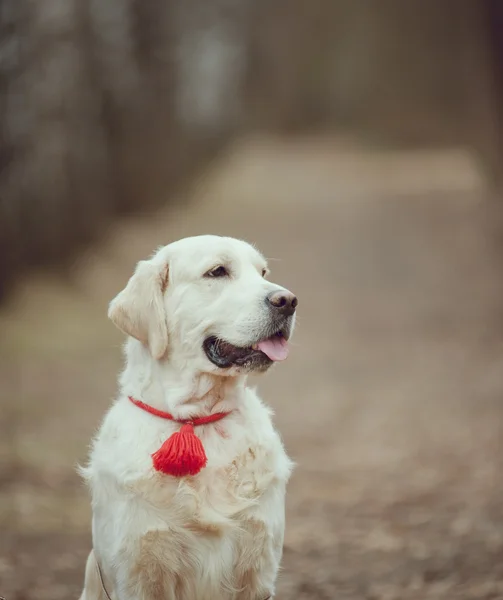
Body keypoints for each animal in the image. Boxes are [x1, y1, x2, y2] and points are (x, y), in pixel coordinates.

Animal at [80, 234, 298, 600]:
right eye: (217, 271)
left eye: (263, 272)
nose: (288, 301)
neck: (198, 419)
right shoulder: (137, 572)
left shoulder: (258, 571)